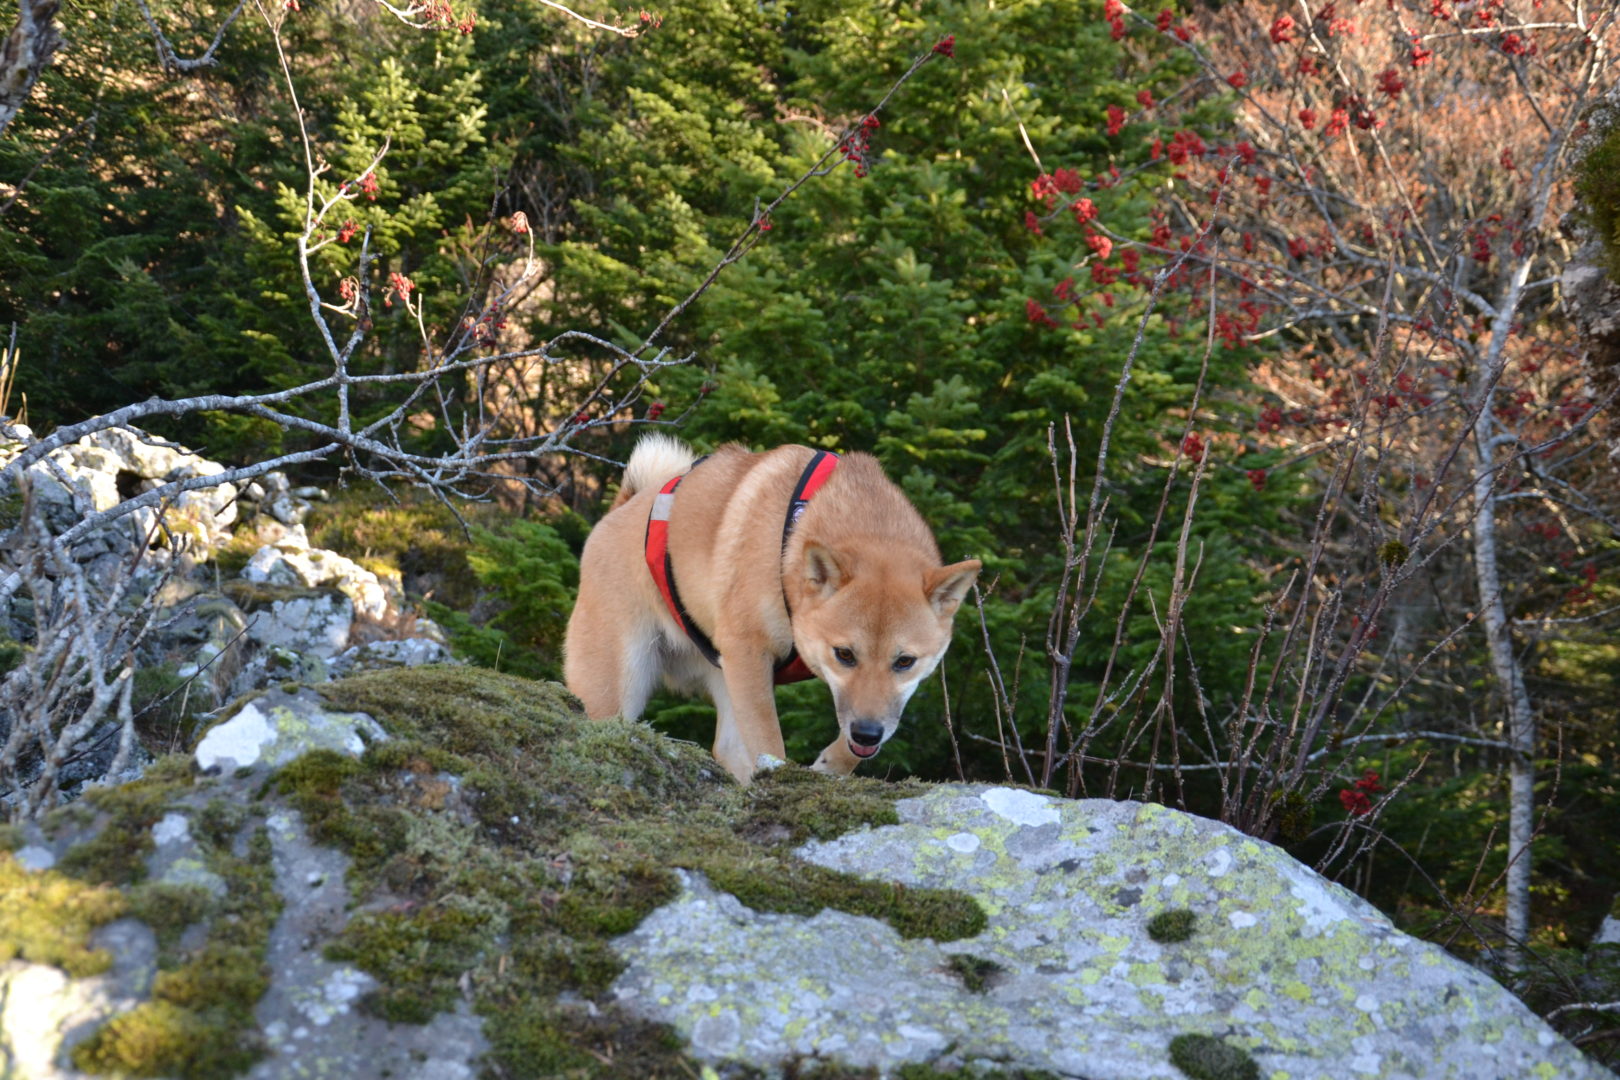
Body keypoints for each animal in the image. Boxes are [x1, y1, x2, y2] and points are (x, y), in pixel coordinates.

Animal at [563, 433, 978, 780]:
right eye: (844, 654)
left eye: (904, 661)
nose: (867, 732)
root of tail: (622, 508)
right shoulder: (751, 654)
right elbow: (770, 745)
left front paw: (829, 765)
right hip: (619, 692)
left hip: (726, 675)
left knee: (728, 748)